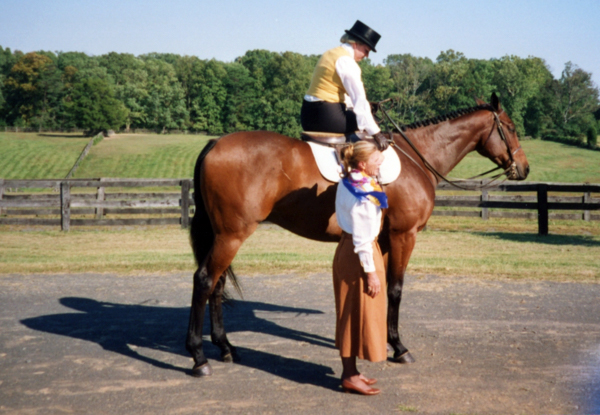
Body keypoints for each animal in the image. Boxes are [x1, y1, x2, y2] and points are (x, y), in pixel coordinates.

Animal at [185, 93, 528, 376]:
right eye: (510, 127)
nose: (523, 168)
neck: (415, 159)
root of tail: (216, 143)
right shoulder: (404, 235)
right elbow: (396, 290)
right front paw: (399, 347)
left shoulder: (384, 239)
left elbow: (380, 287)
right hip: (231, 235)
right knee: (204, 280)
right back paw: (199, 357)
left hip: (223, 235)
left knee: (216, 284)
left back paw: (226, 347)